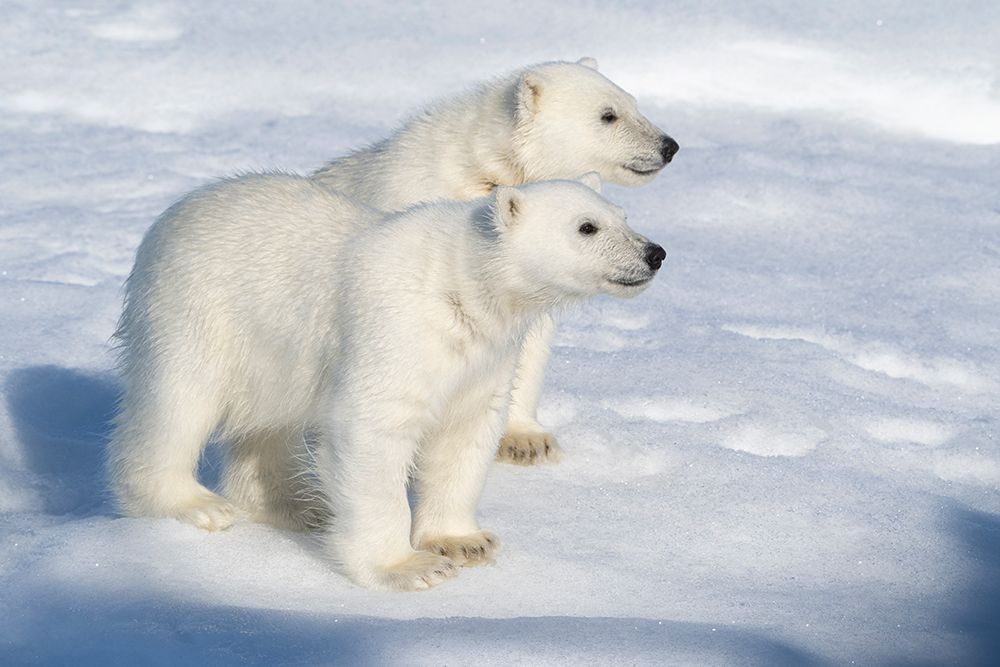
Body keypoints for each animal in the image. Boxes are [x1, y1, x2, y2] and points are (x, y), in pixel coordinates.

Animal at [108, 173, 665, 590]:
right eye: (586, 227)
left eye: (624, 216)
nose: (654, 253)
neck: (463, 287)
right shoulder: (398, 331)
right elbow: (373, 430)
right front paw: (410, 567)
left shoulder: (483, 357)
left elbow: (464, 435)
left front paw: (464, 542)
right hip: (199, 310)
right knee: (177, 404)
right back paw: (194, 505)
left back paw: (298, 506)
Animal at [312, 58, 677, 466]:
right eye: (608, 115)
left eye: (633, 102)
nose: (669, 146)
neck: (489, 172)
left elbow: (526, 344)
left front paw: (527, 440)